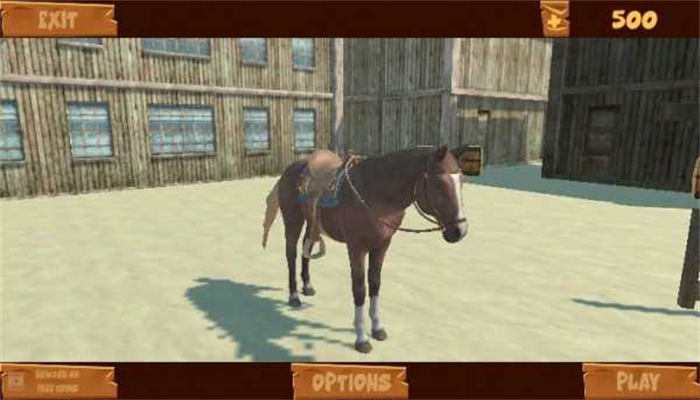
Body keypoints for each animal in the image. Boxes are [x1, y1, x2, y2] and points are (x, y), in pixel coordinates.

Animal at [261, 145, 468, 353]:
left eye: (462, 181)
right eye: (440, 184)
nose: (460, 231)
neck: (375, 192)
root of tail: (291, 169)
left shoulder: (382, 245)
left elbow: (375, 284)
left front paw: (377, 329)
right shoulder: (356, 247)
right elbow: (359, 289)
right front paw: (361, 338)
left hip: (312, 223)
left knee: (307, 248)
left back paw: (308, 287)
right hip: (293, 221)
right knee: (291, 254)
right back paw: (294, 297)